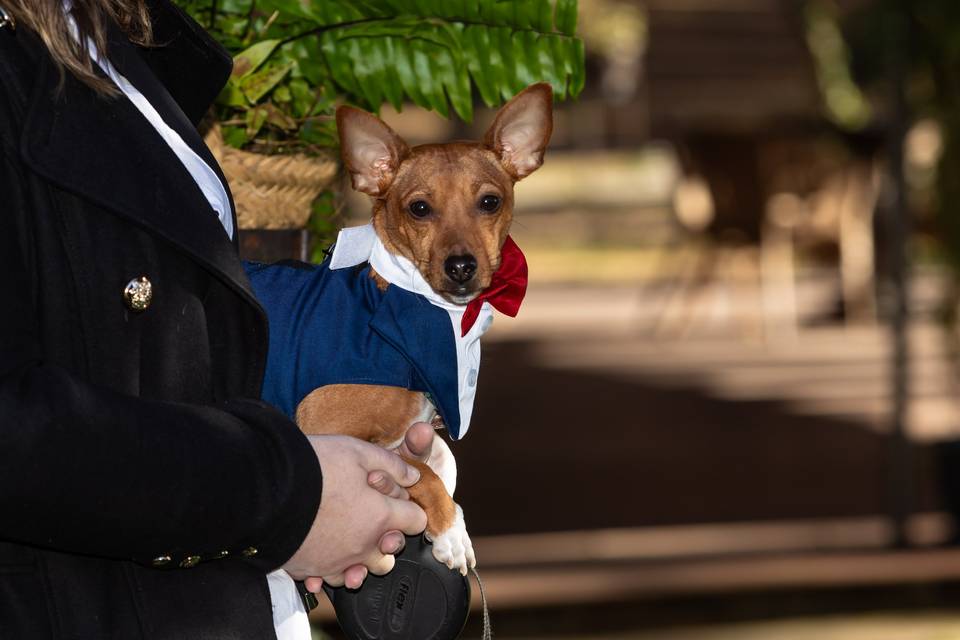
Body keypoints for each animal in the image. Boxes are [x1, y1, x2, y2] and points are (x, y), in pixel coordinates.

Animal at [248, 82, 556, 576]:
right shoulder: (324, 431)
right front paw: (450, 530)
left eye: (489, 202)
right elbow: (424, 473)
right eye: (419, 209)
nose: (461, 266)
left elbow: (442, 459)